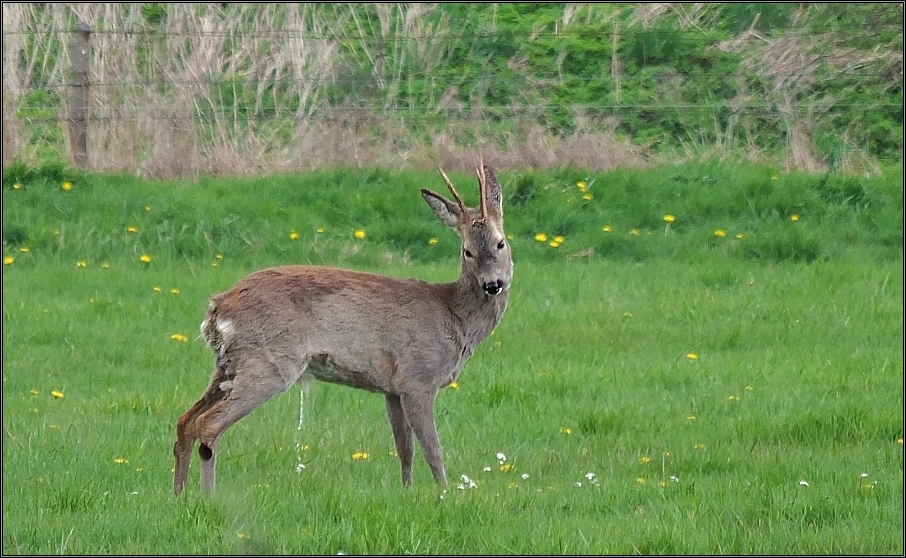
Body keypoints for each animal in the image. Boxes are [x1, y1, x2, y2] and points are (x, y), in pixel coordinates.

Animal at [170, 158, 508, 494]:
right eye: (467, 251)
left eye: (500, 243)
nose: (493, 285)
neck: (455, 316)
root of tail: (217, 306)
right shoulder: (417, 377)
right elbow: (432, 449)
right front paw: (445, 493)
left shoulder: (392, 389)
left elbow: (404, 449)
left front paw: (407, 490)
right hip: (269, 362)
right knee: (208, 424)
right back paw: (207, 496)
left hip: (227, 364)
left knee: (185, 420)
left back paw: (180, 496)